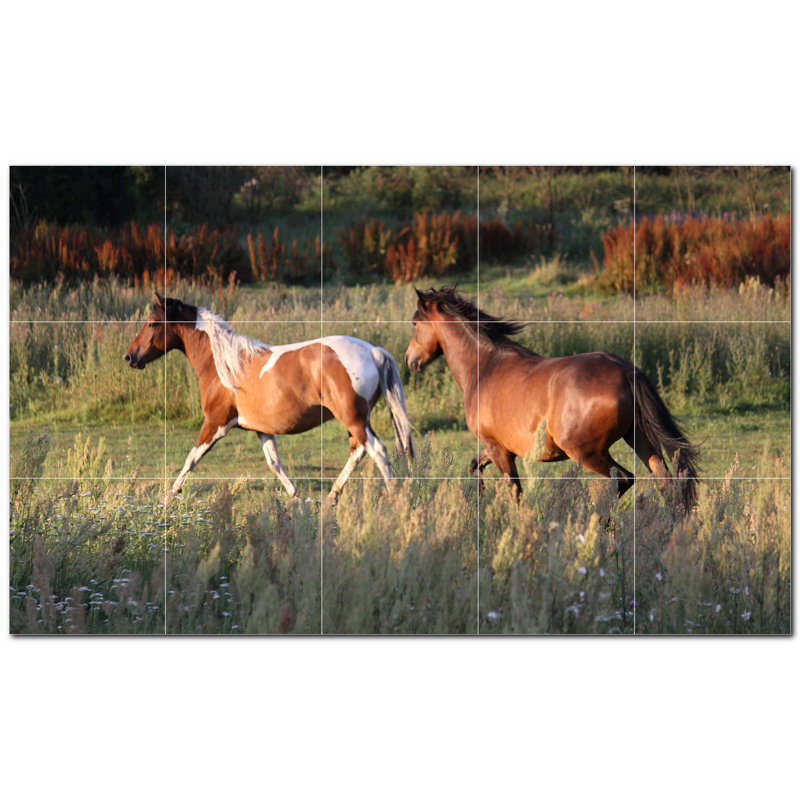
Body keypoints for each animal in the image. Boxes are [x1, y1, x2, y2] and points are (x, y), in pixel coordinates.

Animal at [125, 293, 414, 502]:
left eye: (152, 323)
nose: (130, 357)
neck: (224, 365)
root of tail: (374, 351)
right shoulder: (261, 429)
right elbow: (274, 463)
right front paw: (295, 496)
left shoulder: (216, 423)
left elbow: (192, 458)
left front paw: (169, 495)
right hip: (355, 421)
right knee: (358, 452)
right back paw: (333, 495)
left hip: (353, 418)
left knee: (377, 451)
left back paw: (394, 497)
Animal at [404, 286, 698, 511]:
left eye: (415, 323)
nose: (410, 360)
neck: (485, 367)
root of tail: (626, 372)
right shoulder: (494, 448)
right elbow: (475, 466)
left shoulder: (499, 450)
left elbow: (515, 494)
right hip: (640, 440)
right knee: (666, 482)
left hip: (587, 452)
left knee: (624, 479)